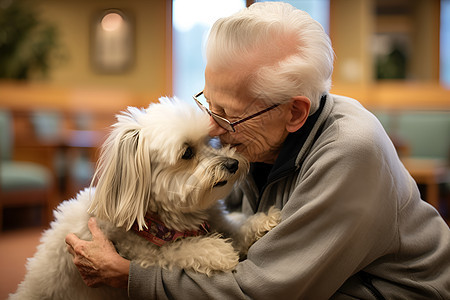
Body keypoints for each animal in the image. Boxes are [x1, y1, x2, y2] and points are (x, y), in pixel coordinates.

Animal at [10, 98, 282, 300]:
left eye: (211, 141)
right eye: (187, 152)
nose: (233, 163)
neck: (177, 216)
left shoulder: (216, 222)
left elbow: (235, 226)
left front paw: (262, 221)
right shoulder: (142, 254)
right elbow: (176, 250)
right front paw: (215, 250)